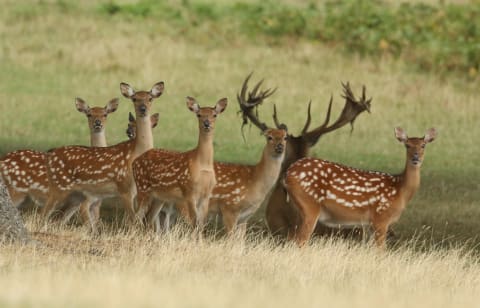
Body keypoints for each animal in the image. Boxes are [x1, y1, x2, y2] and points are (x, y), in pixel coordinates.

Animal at [42, 82, 165, 231]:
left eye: (150, 98)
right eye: (134, 99)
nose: (143, 109)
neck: (134, 155)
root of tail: (50, 153)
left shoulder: (136, 191)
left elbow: (136, 219)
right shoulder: (124, 187)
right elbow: (132, 220)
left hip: (76, 195)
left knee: (59, 217)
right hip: (61, 187)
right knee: (45, 212)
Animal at [133, 97, 227, 233]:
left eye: (215, 115)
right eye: (199, 115)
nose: (207, 123)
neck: (203, 164)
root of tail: (134, 162)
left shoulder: (206, 195)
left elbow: (201, 224)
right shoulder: (189, 192)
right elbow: (194, 223)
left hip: (159, 196)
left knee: (148, 218)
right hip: (142, 188)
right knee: (136, 218)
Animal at [284, 127, 438, 248]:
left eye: (423, 145)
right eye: (407, 145)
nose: (415, 157)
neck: (400, 190)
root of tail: (288, 173)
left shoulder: (368, 224)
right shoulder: (381, 217)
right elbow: (381, 251)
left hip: (297, 209)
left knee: (290, 238)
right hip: (309, 204)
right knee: (301, 241)